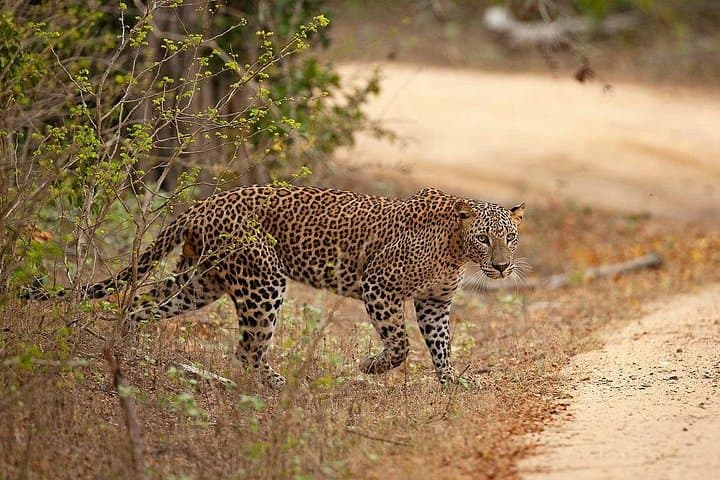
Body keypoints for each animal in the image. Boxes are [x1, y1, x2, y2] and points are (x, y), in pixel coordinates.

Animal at [26, 185, 524, 387]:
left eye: (510, 237)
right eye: (485, 237)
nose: (501, 267)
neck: (456, 249)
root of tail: (203, 204)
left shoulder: (434, 303)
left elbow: (441, 345)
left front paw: (451, 383)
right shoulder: (378, 286)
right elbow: (400, 345)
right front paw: (371, 367)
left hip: (199, 281)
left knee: (141, 305)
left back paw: (122, 349)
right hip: (263, 281)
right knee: (246, 349)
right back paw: (279, 385)